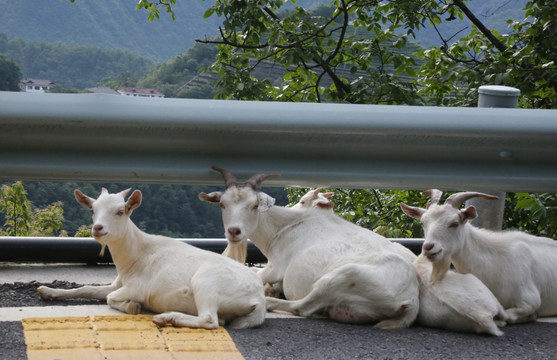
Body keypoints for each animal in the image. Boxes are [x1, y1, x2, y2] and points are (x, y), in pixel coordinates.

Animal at [38, 188, 266, 330]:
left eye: (120, 211)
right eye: (93, 210)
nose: (98, 228)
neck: (135, 256)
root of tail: (259, 298)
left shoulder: (139, 287)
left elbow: (111, 298)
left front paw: (132, 306)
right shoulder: (119, 283)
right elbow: (88, 289)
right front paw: (48, 291)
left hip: (207, 282)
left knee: (210, 319)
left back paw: (167, 317)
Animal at [198, 166, 420, 330]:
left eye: (254, 205)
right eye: (222, 204)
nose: (234, 231)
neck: (283, 227)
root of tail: (410, 300)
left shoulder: (276, 266)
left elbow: (256, 274)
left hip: (344, 275)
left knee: (302, 307)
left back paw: (270, 302)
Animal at [402, 190, 556, 324]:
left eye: (454, 223)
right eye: (423, 223)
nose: (428, 247)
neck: (494, 262)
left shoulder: (530, 300)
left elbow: (510, 316)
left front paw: (532, 316)